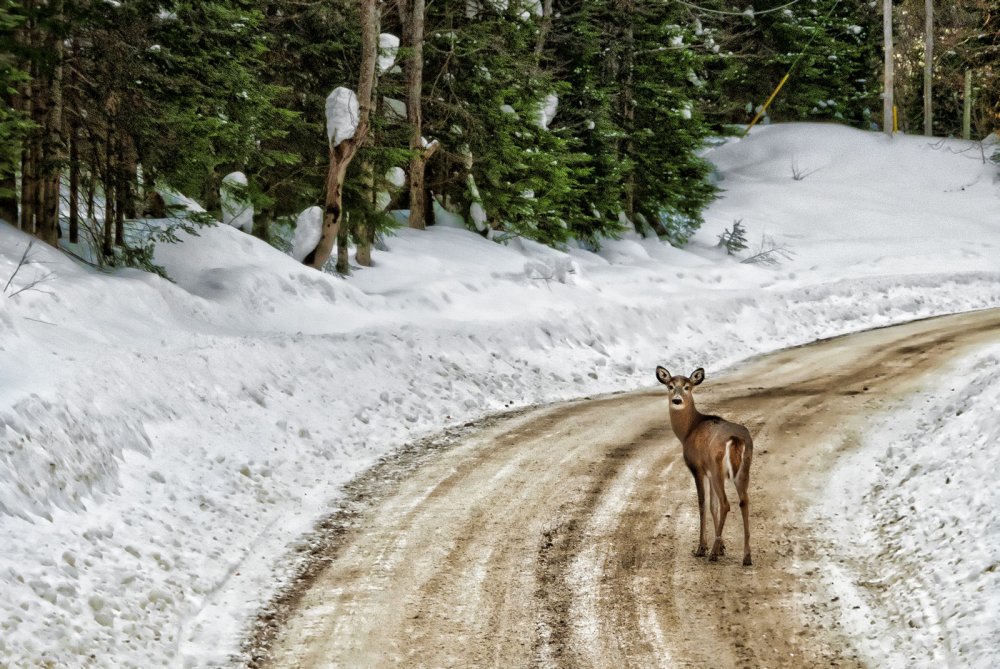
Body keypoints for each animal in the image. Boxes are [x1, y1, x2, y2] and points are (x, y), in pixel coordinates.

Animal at [652, 366, 752, 564]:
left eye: (687, 387)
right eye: (670, 386)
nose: (677, 400)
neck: (688, 430)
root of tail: (736, 439)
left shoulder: (697, 467)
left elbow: (702, 504)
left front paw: (703, 547)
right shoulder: (708, 472)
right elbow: (713, 506)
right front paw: (721, 547)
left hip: (717, 466)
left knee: (726, 503)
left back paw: (712, 554)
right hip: (744, 467)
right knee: (744, 501)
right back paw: (746, 556)